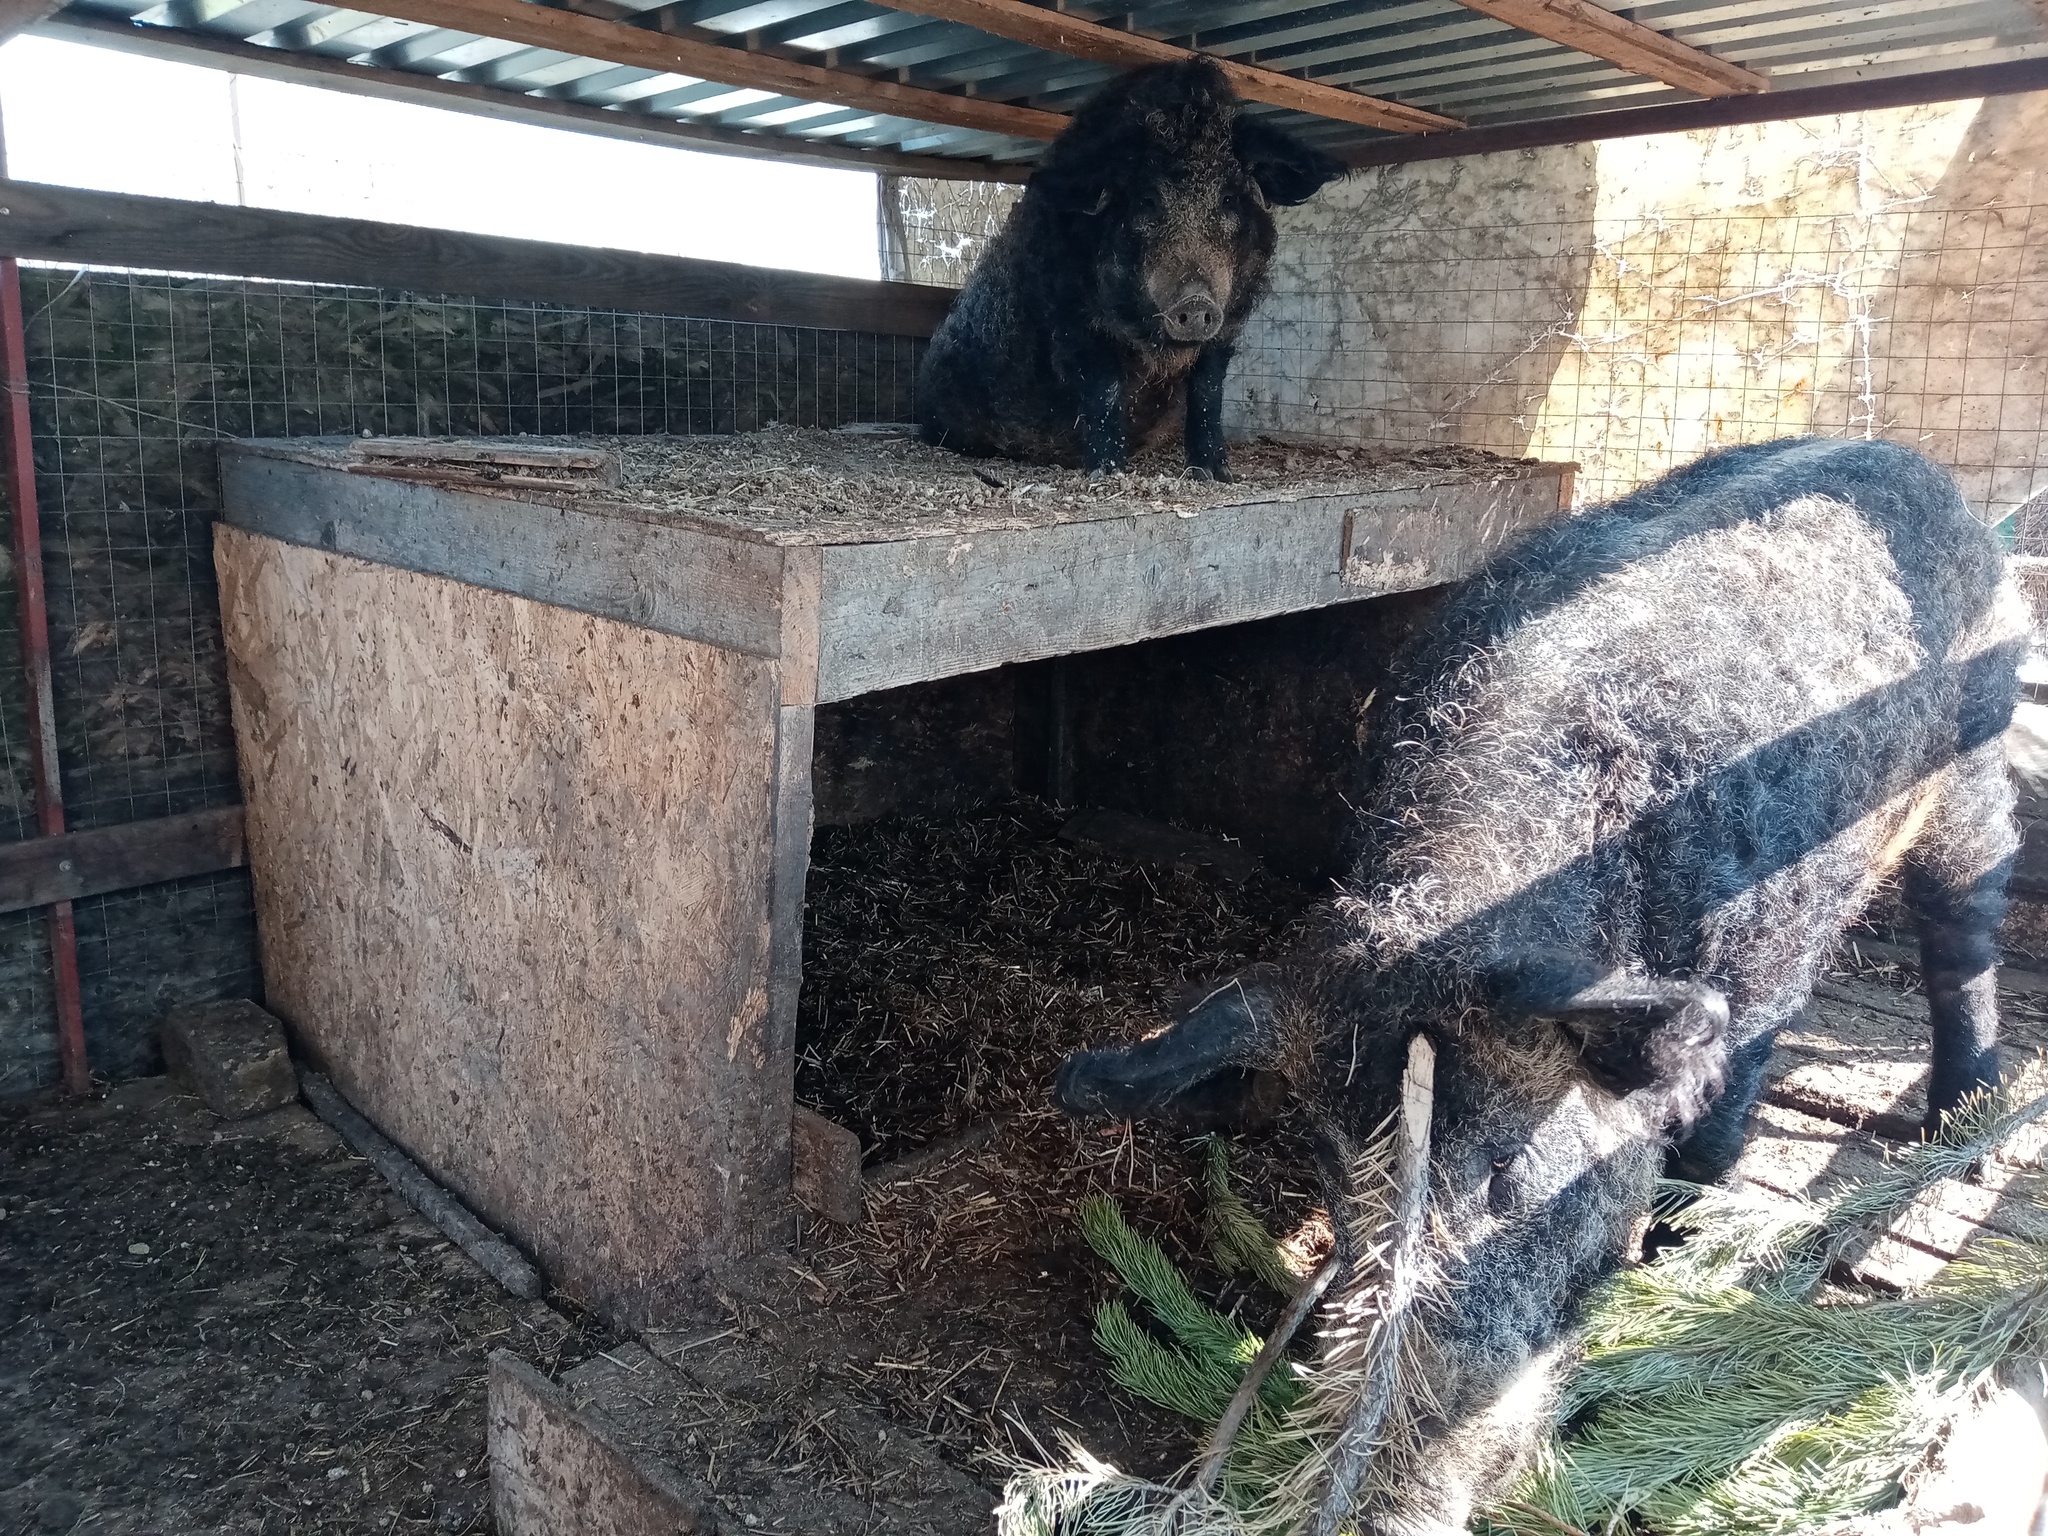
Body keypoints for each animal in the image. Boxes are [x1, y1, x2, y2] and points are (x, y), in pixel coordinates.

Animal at [1056, 438, 2031, 1531]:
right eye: (1343, 1191)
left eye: (1508, 1175)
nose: (1392, 1499)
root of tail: (1906, 458)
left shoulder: (1761, 975)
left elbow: (1718, 1120)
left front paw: (1673, 1266)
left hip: (1975, 756)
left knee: (1963, 932)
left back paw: (1966, 1130)